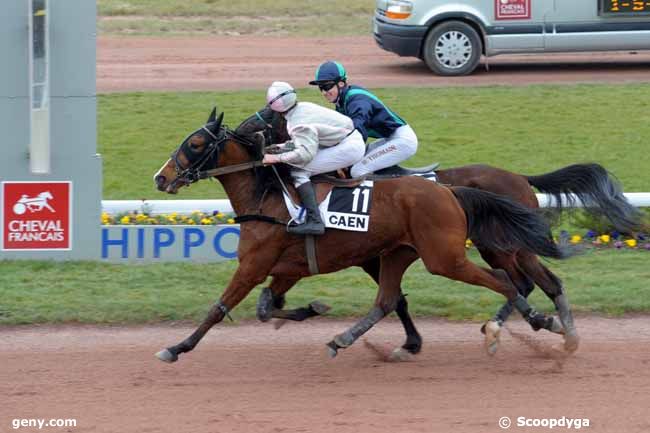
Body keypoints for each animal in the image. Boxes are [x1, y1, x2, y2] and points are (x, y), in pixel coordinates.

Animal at [151, 108, 572, 362]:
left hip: (452, 256)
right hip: (410, 252)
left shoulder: (254, 266)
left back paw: (534, 326)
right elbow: (267, 306)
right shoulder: (291, 266)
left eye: (196, 143)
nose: (161, 177)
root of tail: (452, 192)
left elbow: (220, 308)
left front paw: (176, 347)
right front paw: (312, 309)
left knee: (510, 281)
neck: (268, 196)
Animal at [237, 107, 636, 354]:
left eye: (266, 117)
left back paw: (525, 327)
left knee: (525, 282)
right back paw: (559, 334)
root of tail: (520, 177)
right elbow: (389, 297)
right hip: (508, 247)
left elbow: (394, 298)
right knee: (541, 282)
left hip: (502, 246)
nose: (244, 133)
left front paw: (409, 343)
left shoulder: (369, 253)